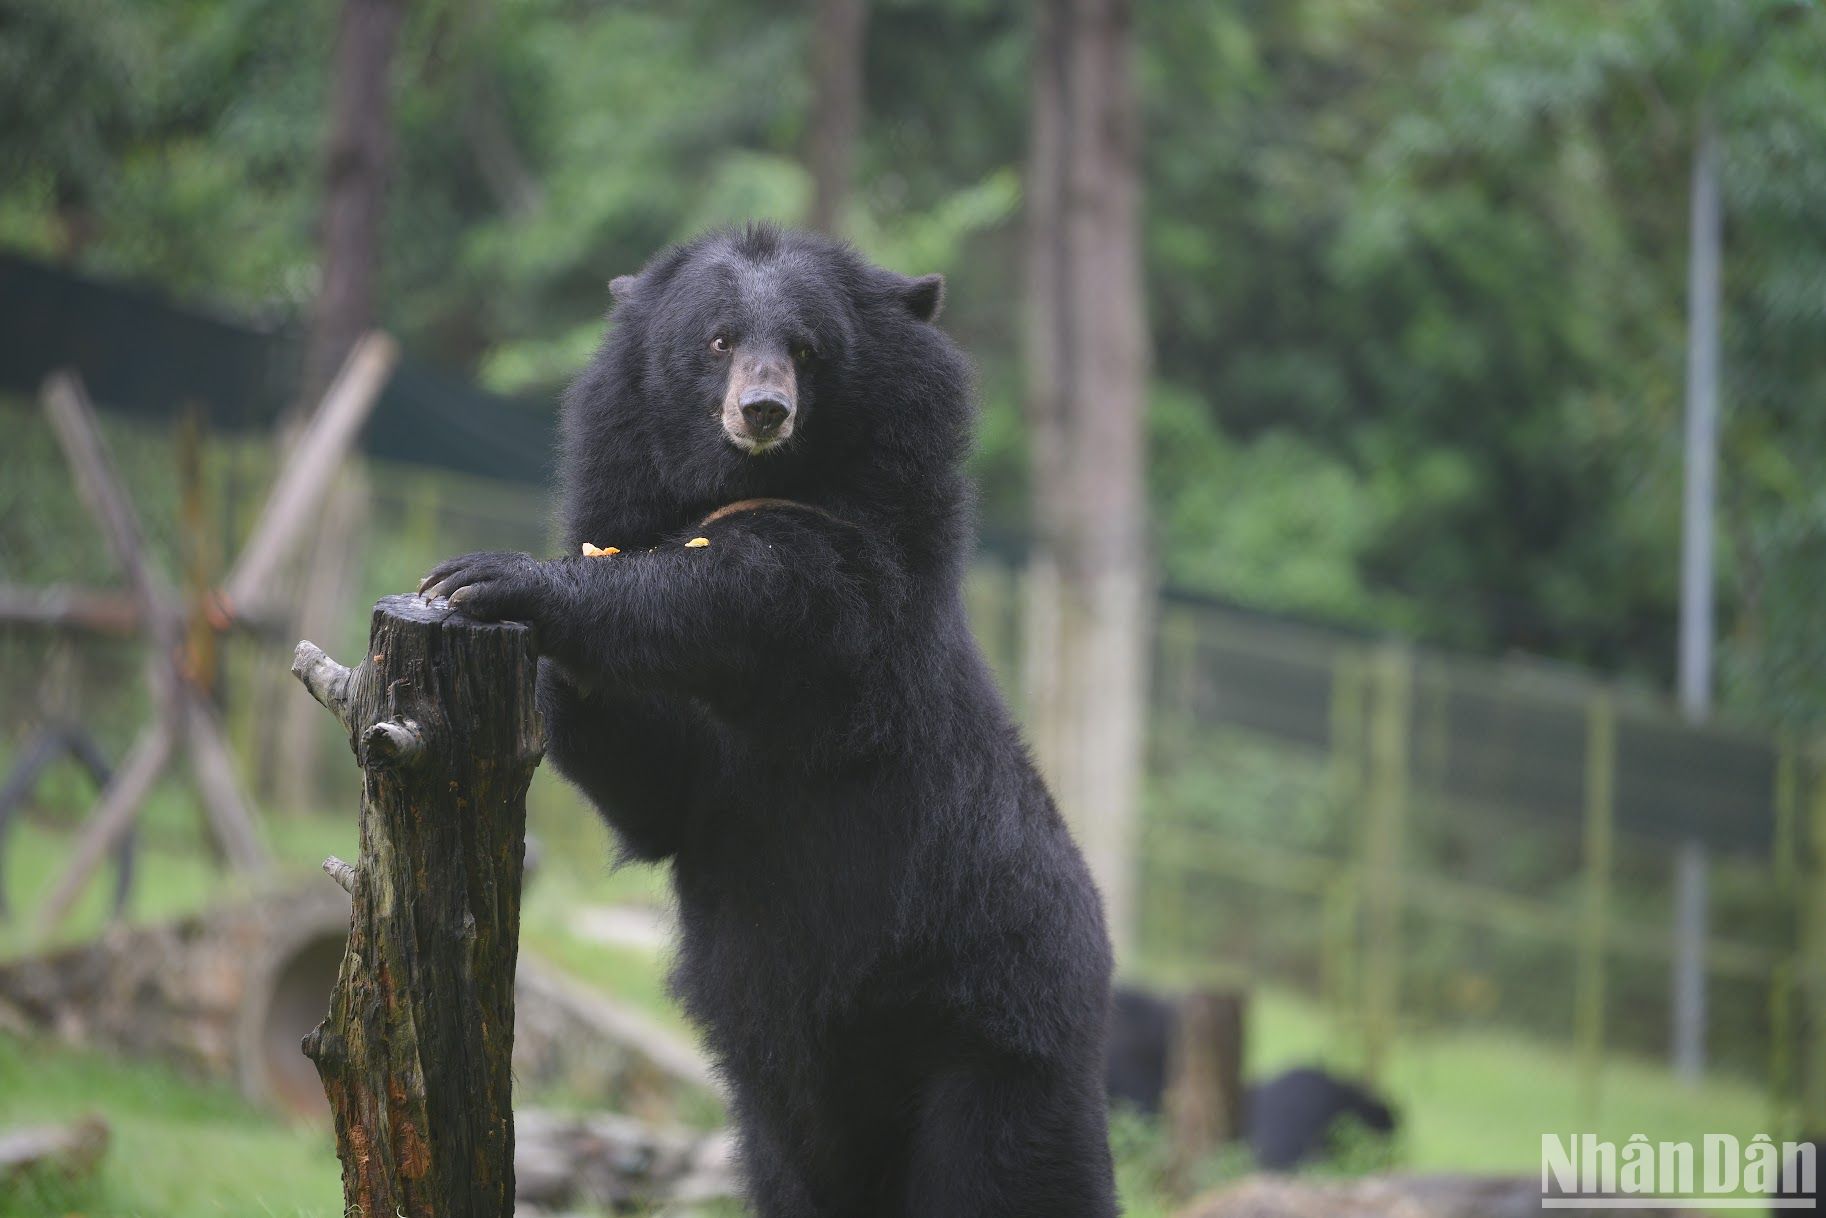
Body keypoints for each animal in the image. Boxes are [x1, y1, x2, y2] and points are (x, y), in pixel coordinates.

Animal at [418, 226, 1117, 1218]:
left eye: (806, 349)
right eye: (715, 341)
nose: (762, 411)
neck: (748, 483)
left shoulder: (863, 601)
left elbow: (761, 587)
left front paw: (501, 578)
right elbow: (656, 791)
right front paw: (549, 655)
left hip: (995, 1026)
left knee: (1005, 1177)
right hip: (780, 1101)